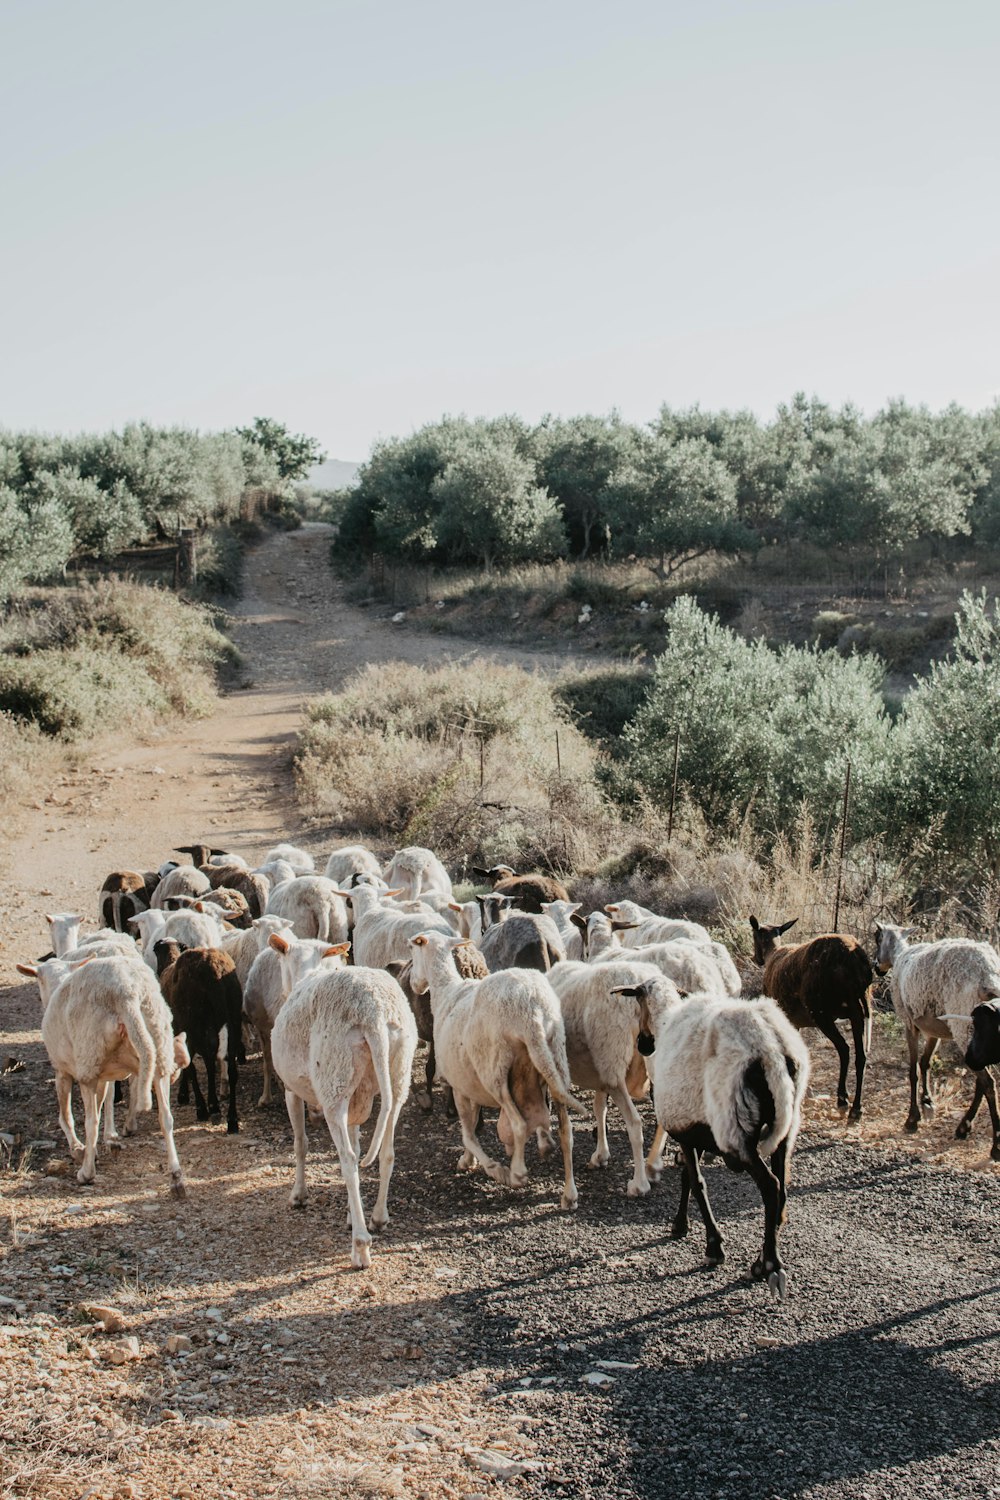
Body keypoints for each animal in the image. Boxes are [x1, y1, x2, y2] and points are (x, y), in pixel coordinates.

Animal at [269, 960, 419, 1266]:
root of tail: (375, 1014)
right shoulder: (357, 1101)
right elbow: (360, 1146)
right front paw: (352, 1211)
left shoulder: (291, 1090)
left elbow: (300, 1143)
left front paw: (298, 1195)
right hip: (398, 1075)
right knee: (387, 1153)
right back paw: (378, 1217)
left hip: (334, 1082)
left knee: (348, 1160)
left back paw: (360, 1246)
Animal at [404, 936, 581, 1206]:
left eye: (413, 950)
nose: (415, 984)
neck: (447, 991)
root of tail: (532, 1012)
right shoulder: (470, 1081)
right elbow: (473, 1122)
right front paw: (468, 1160)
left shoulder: (459, 1084)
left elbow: (467, 1132)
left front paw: (492, 1167)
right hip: (557, 1060)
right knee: (566, 1131)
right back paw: (569, 1194)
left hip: (495, 1073)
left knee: (519, 1125)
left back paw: (516, 1173)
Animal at [746, 918, 869, 1122]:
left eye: (754, 936)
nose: (755, 958)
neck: (773, 953)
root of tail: (853, 957)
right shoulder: (795, 1023)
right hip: (857, 1010)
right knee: (861, 1056)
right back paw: (856, 1108)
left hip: (821, 1012)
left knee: (844, 1049)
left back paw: (842, 1100)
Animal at [881, 912, 1000, 1158]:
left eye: (877, 937)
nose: (877, 967)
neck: (900, 956)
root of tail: (988, 975)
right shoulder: (933, 1029)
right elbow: (925, 1063)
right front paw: (927, 1102)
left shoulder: (910, 1024)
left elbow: (913, 1070)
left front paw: (912, 1119)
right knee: (982, 1082)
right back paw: (964, 1127)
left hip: (965, 1027)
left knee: (988, 1083)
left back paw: (995, 1146)